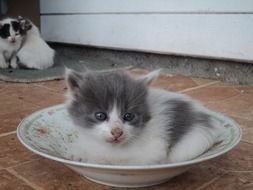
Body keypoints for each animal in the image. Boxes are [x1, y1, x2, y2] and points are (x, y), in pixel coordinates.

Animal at [64, 69, 221, 165]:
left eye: (128, 116)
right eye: (100, 115)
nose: (117, 132)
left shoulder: (151, 152)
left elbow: (116, 159)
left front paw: (93, 158)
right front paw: (79, 153)